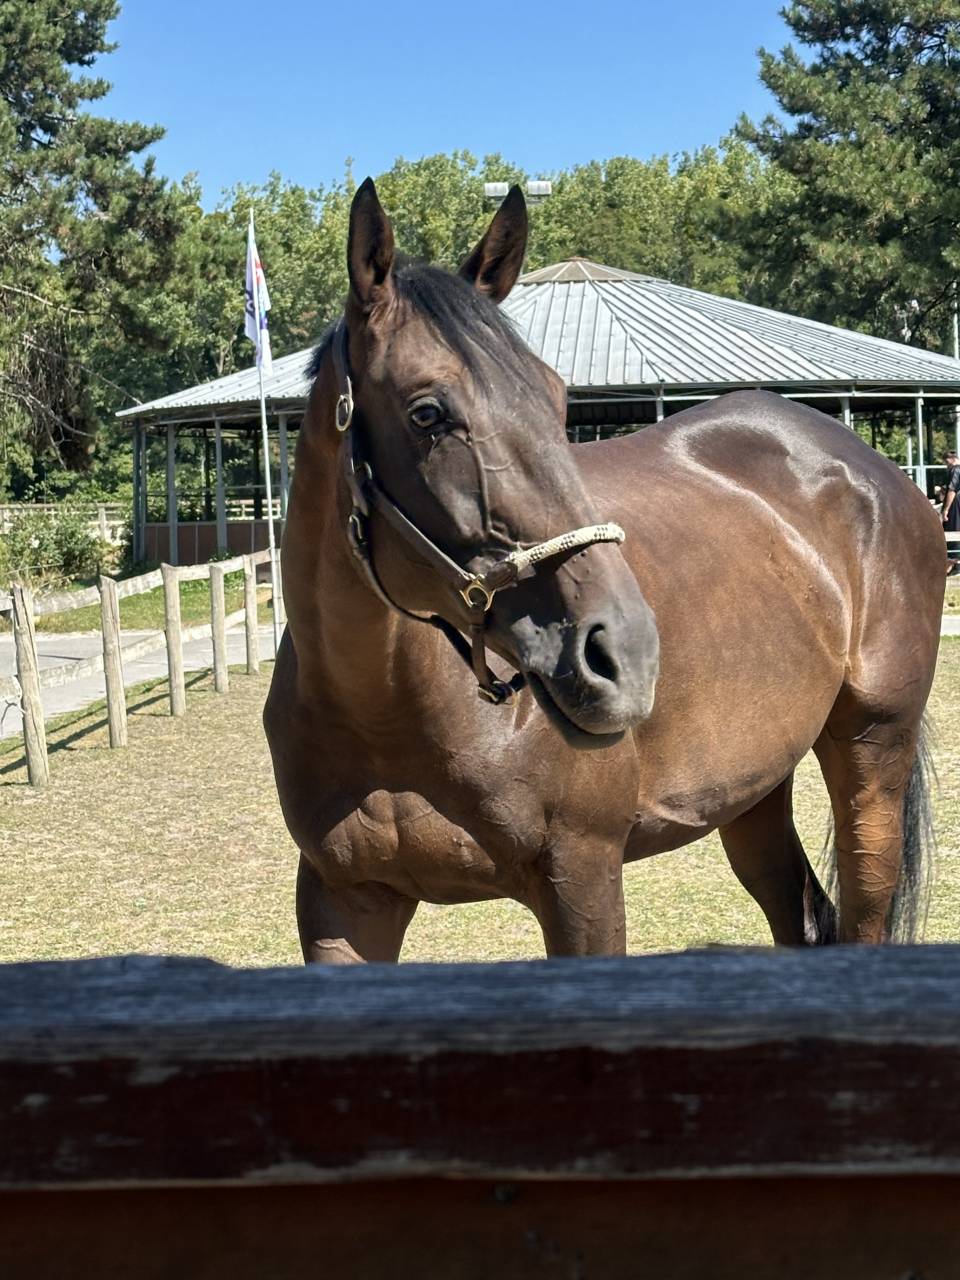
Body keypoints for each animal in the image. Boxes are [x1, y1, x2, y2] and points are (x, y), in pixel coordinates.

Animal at [264, 178, 946, 963]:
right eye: (427, 412)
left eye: (558, 397)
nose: (625, 654)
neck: (384, 714)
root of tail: (876, 473)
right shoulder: (343, 902)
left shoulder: (583, 881)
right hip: (754, 790)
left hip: (872, 753)